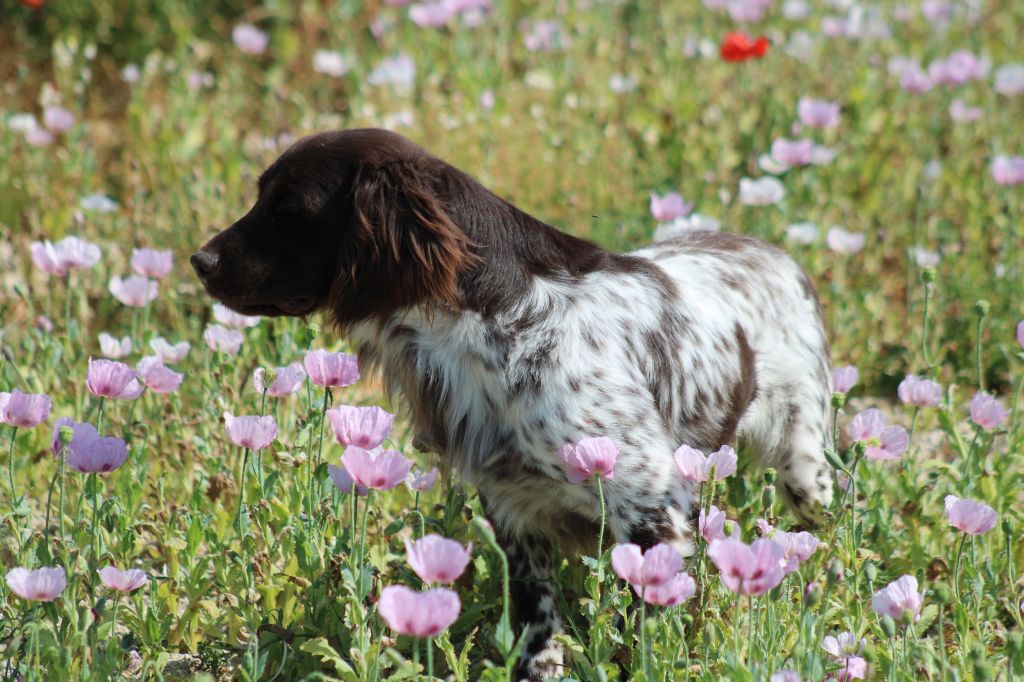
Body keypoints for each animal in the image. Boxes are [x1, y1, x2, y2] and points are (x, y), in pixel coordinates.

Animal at [192, 129, 831, 679]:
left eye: (289, 208)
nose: (200, 261)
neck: (493, 323)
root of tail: (773, 251)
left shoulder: (653, 512)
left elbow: (642, 636)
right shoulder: (514, 511)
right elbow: (537, 633)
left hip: (806, 469)